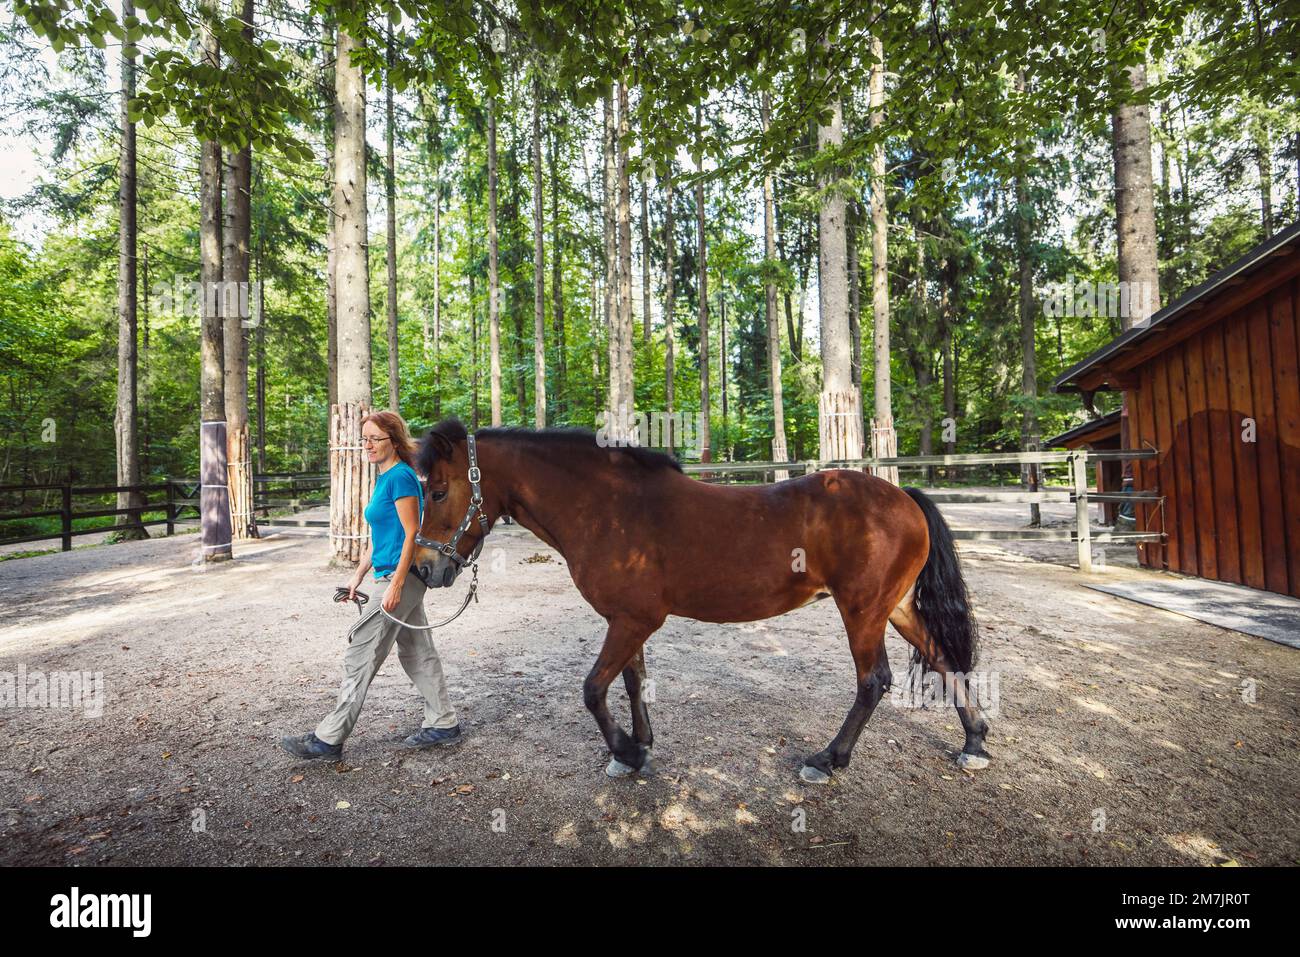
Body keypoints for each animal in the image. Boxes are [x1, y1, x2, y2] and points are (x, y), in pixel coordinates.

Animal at [410, 421, 987, 785]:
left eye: (437, 491)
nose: (422, 568)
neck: (607, 508)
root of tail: (902, 496)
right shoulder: (628, 621)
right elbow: (633, 681)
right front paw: (639, 748)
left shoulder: (634, 619)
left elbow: (593, 689)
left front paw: (624, 750)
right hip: (895, 607)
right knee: (941, 657)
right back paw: (975, 742)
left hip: (862, 611)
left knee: (873, 682)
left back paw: (827, 760)